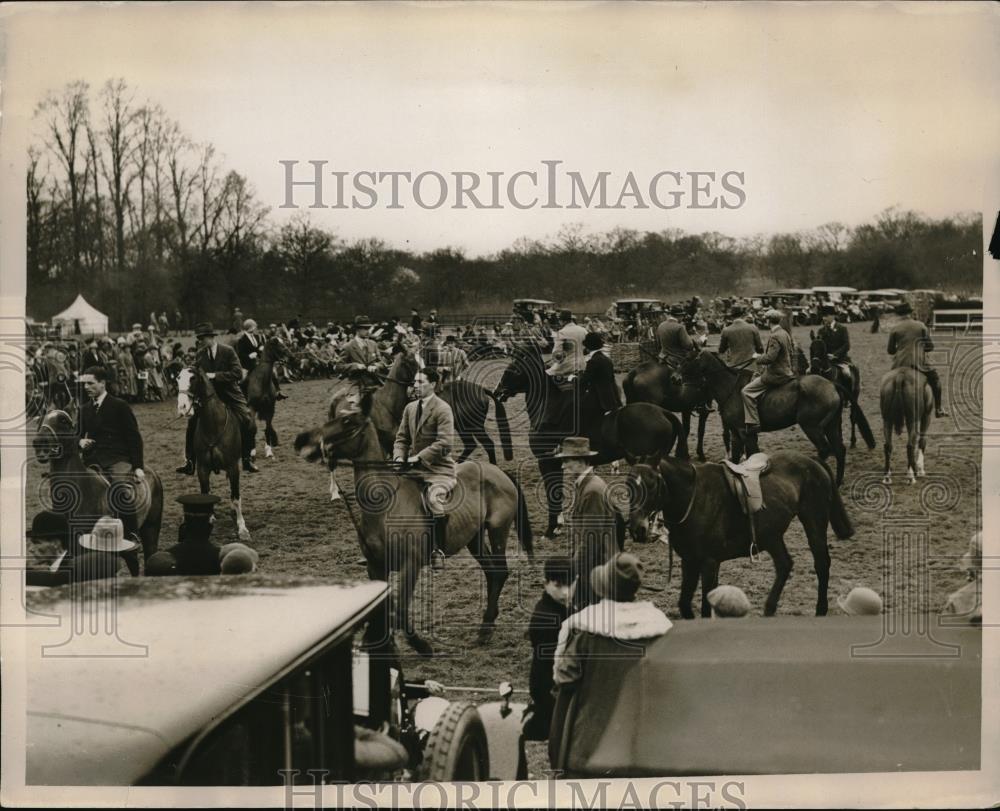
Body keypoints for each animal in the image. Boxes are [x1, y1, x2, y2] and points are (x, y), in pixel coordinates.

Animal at [175, 368, 249, 540]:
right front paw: (207, 519)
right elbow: (204, 493)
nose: (182, 407)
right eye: (178, 378)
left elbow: (236, 497)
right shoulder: (202, 468)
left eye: (193, 378)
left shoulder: (233, 467)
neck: (213, 425)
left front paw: (242, 527)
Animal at [294, 394, 536, 660]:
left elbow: (399, 608)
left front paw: (421, 645)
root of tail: (499, 472)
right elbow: (385, 606)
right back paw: (488, 623)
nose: (302, 440)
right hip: (474, 538)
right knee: (492, 572)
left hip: (498, 530)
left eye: (347, 421)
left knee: (501, 571)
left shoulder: (412, 564)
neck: (385, 505)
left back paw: (484, 630)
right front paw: (378, 644)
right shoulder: (376, 566)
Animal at [494, 340, 684, 540]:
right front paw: (558, 526)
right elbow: (557, 492)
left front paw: (551, 529)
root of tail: (663, 412)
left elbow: (552, 493)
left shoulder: (546, 461)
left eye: (513, 369)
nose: (498, 391)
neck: (549, 408)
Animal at [624, 454, 852, 620]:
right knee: (784, 565)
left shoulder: (709, 563)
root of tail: (813, 460)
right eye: (627, 487)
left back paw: (821, 609)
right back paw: (769, 609)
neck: (693, 498)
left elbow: (705, 608)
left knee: (821, 563)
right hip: (771, 535)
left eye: (652, 484)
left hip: (814, 522)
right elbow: (684, 604)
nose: (637, 529)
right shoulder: (689, 561)